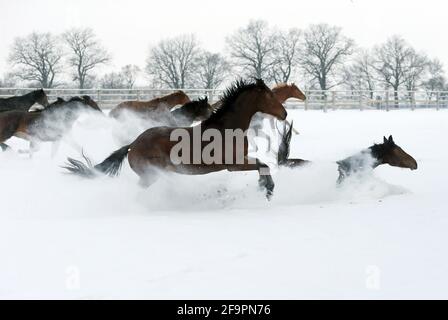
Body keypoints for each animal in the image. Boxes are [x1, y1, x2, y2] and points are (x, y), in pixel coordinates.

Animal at [64, 79, 288, 199]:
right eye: (269, 95)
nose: (284, 113)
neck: (226, 128)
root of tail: (133, 144)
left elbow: (262, 164)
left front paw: (265, 186)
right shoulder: (234, 164)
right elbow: (262, 164)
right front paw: (268, 188)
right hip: (150, 175)